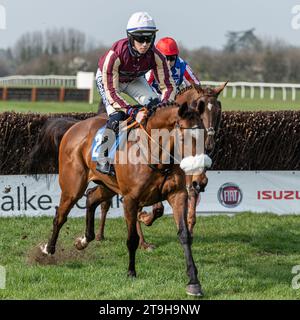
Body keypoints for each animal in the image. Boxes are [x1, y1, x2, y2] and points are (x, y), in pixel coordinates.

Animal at [37, 101, 209, 296]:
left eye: (205, 135)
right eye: (185, 137)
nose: (199, 181)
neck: (155, 156)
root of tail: (74, 126)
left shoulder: (178, 195)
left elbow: (184, 235)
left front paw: (194, 282)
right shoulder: (130, 200)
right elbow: (132, 238)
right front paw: (131, 272)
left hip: (108, 186)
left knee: (91, 198)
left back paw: (84, 240)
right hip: (72, 187)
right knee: (60, 216)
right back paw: (48, 249)